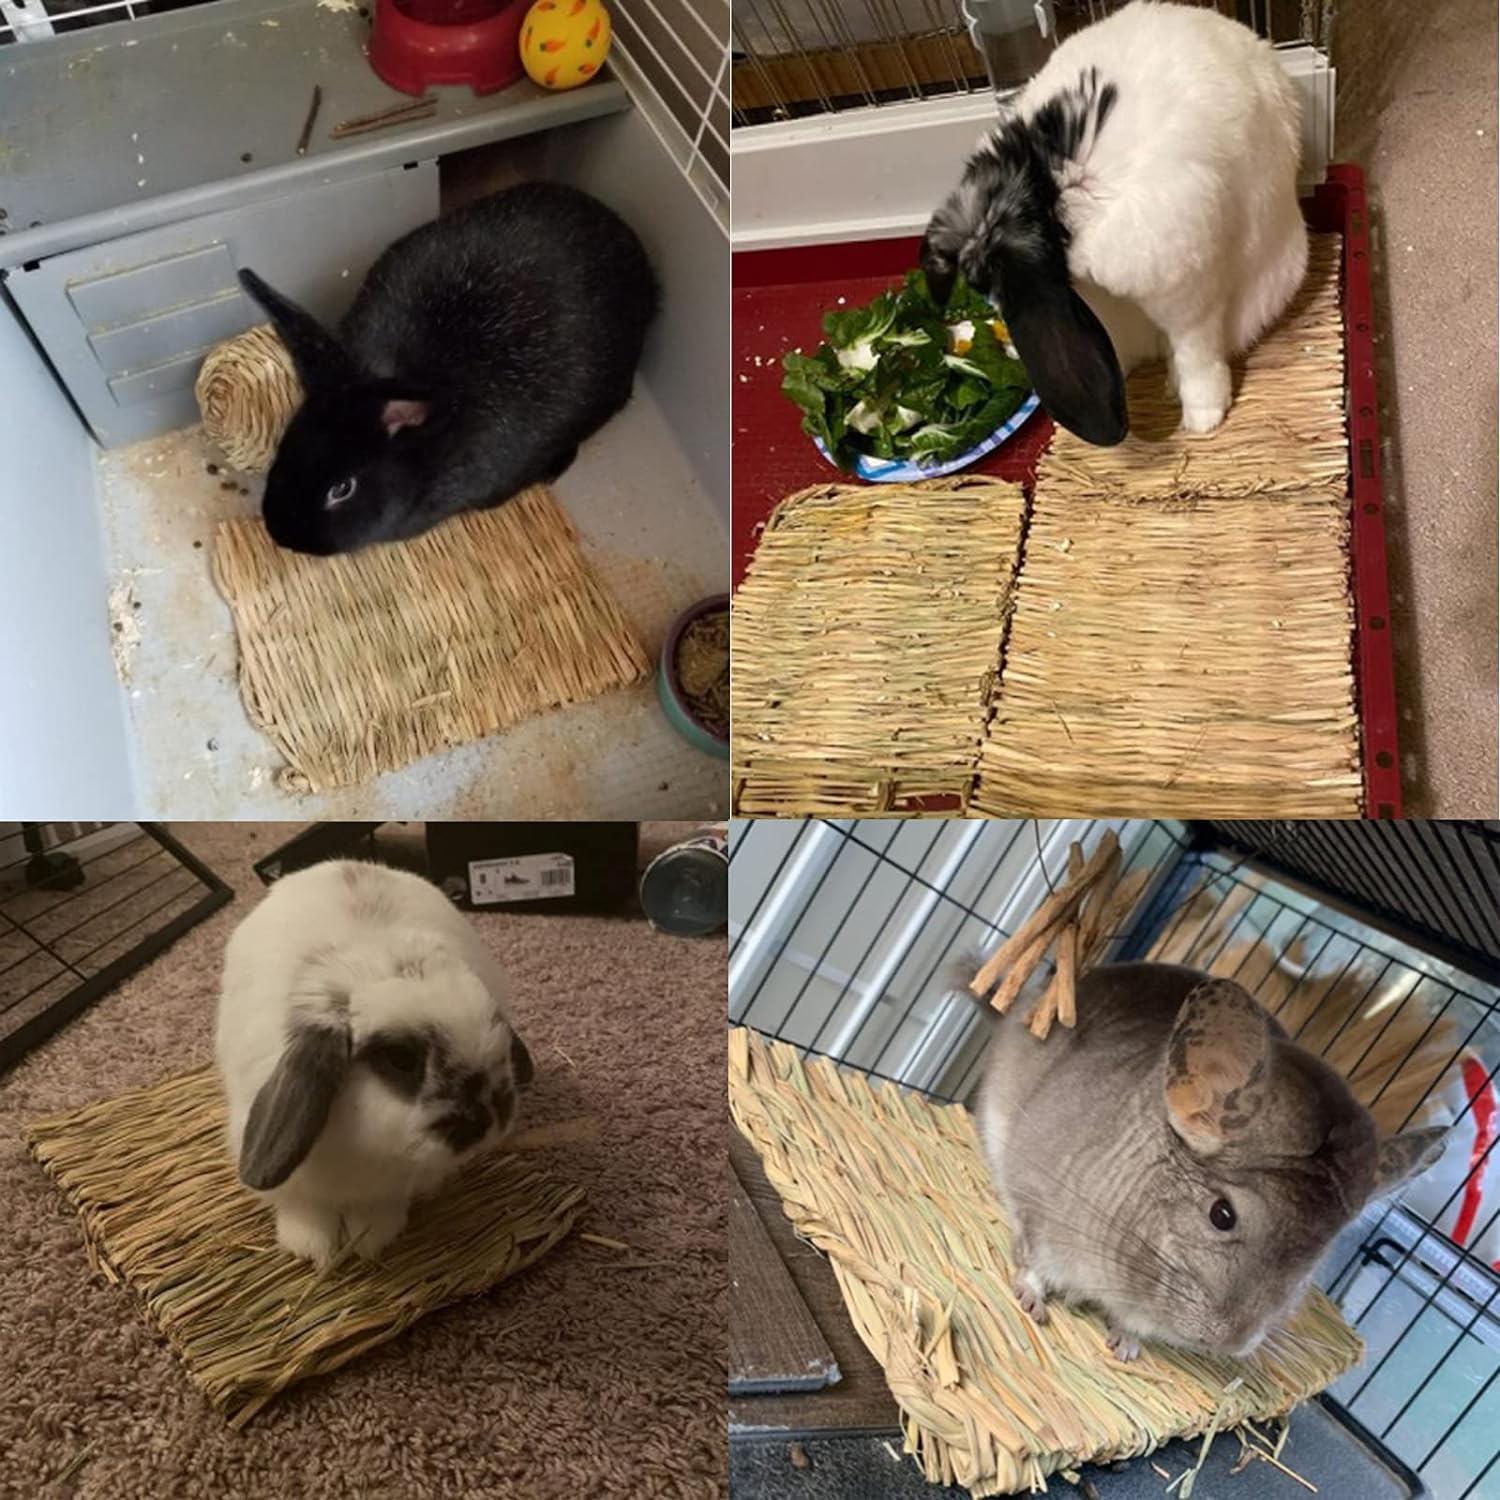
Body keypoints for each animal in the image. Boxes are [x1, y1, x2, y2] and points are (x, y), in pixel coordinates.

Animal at [215, 859, 535, 1266]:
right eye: (402, 1058)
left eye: (497, 1032)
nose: (488, 1121)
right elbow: (301, 1205)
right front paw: (311, 1246)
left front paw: (371, 1239)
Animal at [969, 961, 1446, 1361]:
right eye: (1221, 1215)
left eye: (1313, 1264)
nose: (1232, 1342)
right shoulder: (1038, 1208)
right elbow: (1033, 1261)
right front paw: (1031, 1301)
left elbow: (1132, 1325)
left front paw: (1126, 1346)